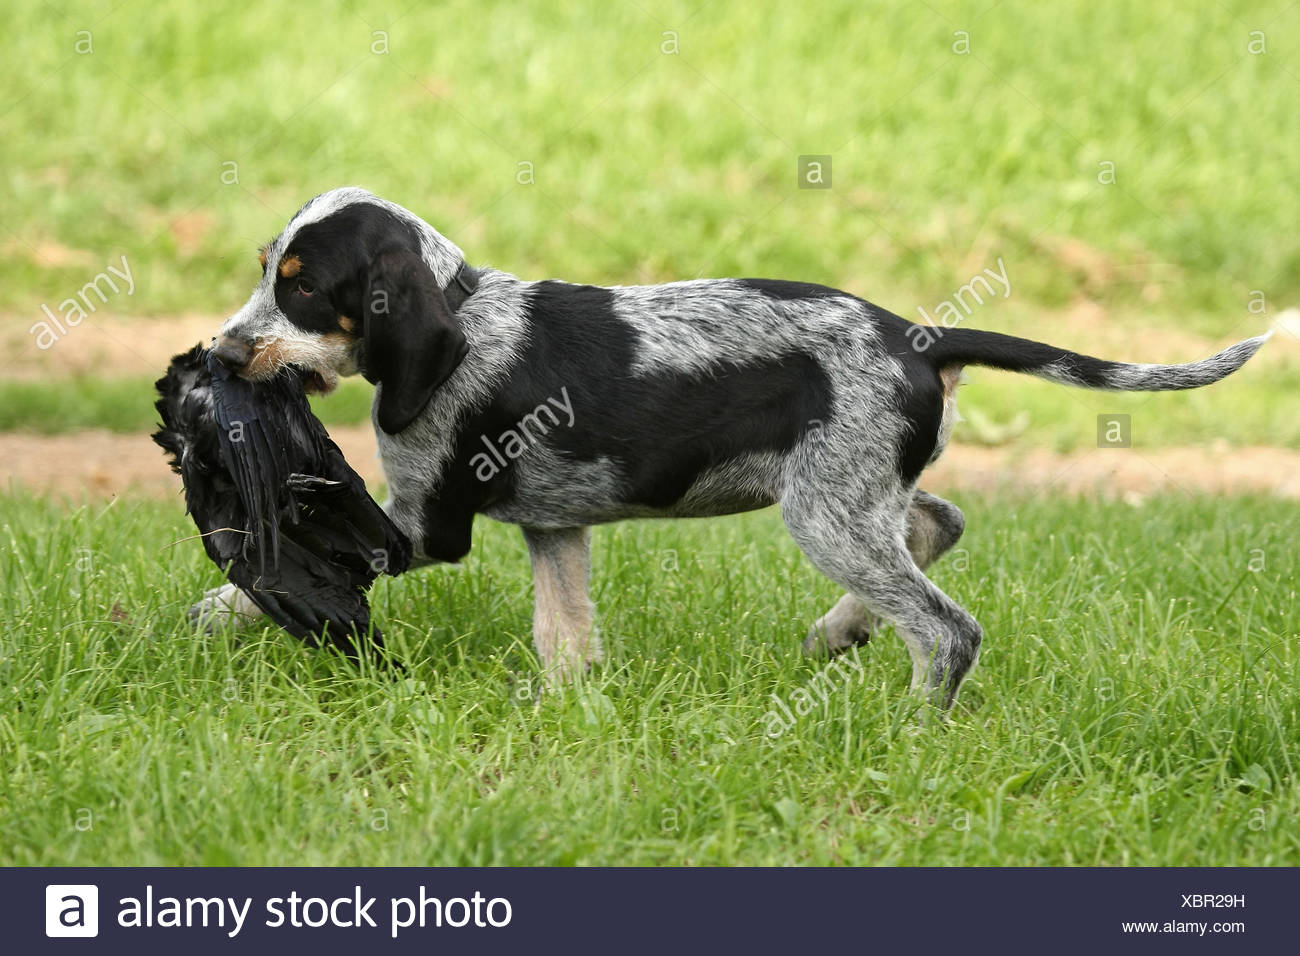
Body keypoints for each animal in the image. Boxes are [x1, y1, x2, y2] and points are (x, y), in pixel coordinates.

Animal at [192, 188, 1268, 712]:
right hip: (855, 497)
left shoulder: (424, 523)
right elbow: (564, 634)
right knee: (938, 520)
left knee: (945, 627)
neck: (463, 312)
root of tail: (918, 337)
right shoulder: (555, 529)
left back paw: (913, 726)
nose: (223, 355)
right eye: (266, 270)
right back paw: (841, 631)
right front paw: (565, 707)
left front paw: (211, 612)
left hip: (827, 511)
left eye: (301, 285)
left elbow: (283, 563)